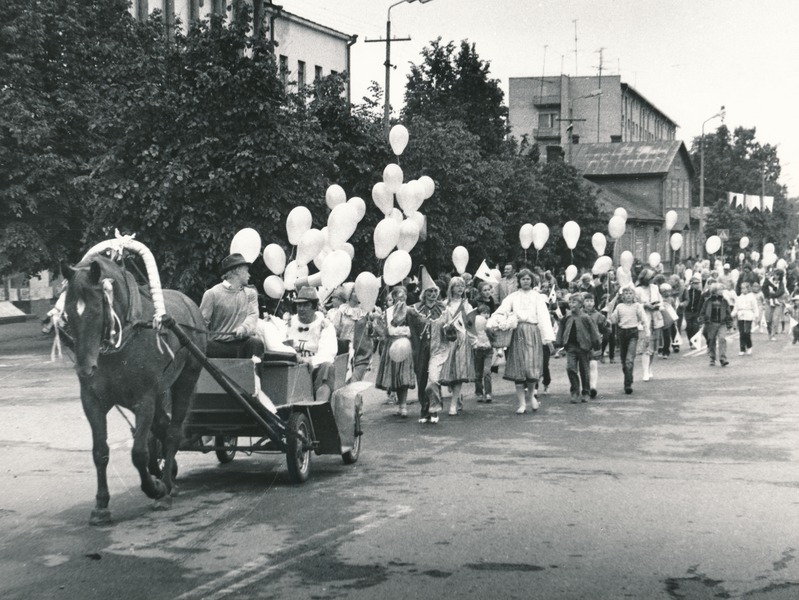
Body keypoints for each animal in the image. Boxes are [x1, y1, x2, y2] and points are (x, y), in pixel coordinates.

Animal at [63, 254, 206, 524]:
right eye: (68, 312)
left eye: (97, 309)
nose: (85, 369)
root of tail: (191, 306)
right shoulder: (92, 402)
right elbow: (100, 452)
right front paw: (101, 506)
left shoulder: (144, 401)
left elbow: (138, 453)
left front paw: (156, 490)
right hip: (161, 393)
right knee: (162, 427)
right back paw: (168, 474)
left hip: (185, 381)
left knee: (172, 432)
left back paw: (167, 487)